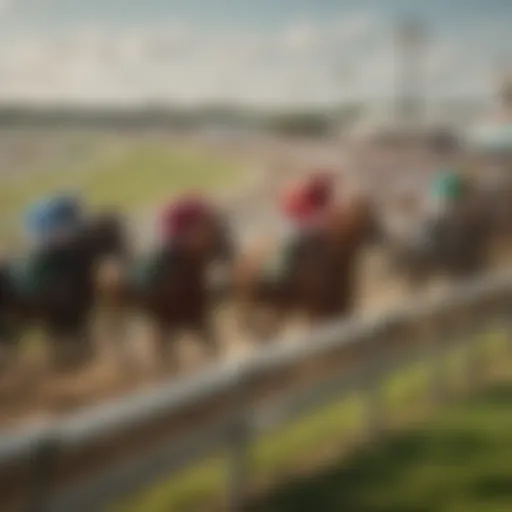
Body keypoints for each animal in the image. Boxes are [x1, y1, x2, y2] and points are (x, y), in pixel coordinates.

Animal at [96, 208, 234, 372]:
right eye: (220, 232)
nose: (230, 253)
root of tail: (105, 269)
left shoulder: (188, 320)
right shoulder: (181, 321)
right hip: (119, 313)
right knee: (114, 335)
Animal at [232, 195, 384, 340]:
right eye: (370, 215)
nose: (382, 236)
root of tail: (242, 259)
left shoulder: (336, 306)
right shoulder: (318, 309)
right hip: (250, 301)